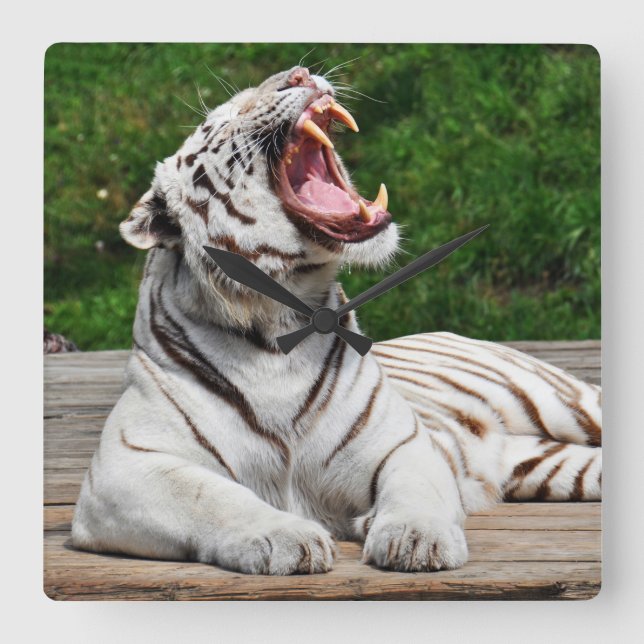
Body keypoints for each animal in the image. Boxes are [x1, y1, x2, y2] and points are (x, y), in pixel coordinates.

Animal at [71, 66, 601, 575]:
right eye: (218, 121)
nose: (300, 74)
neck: (279, 321)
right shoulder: (125, 467)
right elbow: (214, 497)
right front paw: (284, 538)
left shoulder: (402, 442)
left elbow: (415, 490)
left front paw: (417, 539)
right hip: (550, 465)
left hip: (562, 402)